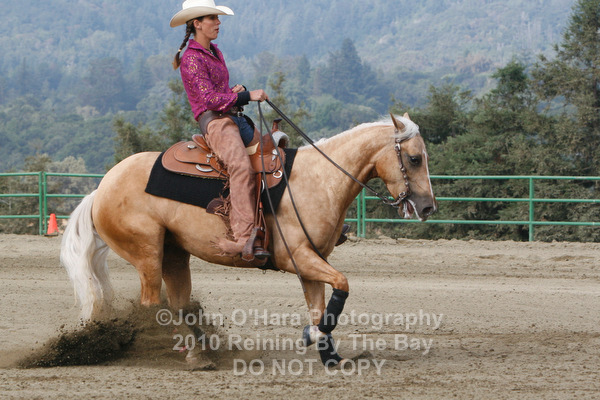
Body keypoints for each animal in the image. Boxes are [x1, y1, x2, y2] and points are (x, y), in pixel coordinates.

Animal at [60, 113, 437, 366]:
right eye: (414, 158)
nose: (427, 207)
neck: (319, 180)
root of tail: (100, 190)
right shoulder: (298, 258)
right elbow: (342, 285)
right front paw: (315, 338)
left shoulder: (312, 262)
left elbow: (319, 307)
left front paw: (328, 353)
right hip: (147, 253)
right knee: (152, 305)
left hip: (174, 254)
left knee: (179, 307)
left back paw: (198, 355)